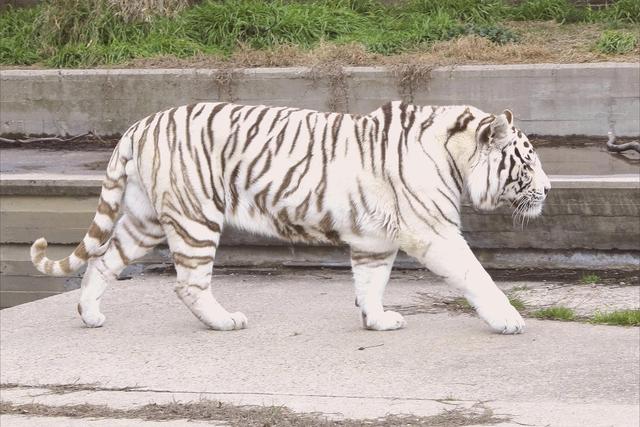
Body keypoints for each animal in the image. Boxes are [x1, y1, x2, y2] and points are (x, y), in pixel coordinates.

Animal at [30, 103, 552, 334]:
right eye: (528, 161)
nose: (549, 189)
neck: (453, 154)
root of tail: (139, 125)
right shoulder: (434, 231)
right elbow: (476, 275)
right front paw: (509, 319)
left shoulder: (374, 238)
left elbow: (371, 281)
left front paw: (376, 320)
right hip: (195, 217)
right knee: (189, 283)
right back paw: (224, 321)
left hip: (143, 219)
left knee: (102, 260)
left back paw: (90, 314)